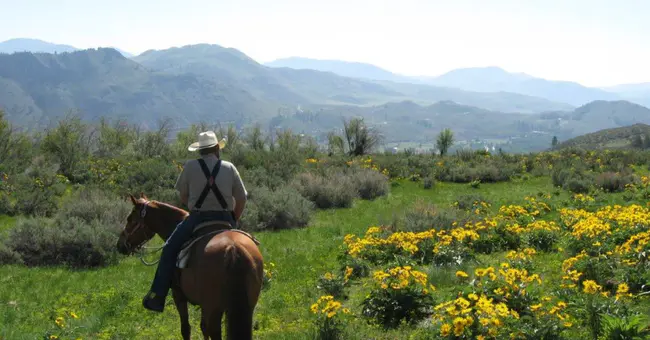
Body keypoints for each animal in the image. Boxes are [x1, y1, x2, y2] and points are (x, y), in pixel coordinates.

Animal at [116, 194, 264, 340]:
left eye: (130, 219)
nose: (120, 245)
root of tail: (233, 248)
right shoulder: (204, 305)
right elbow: (203, 327)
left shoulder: (179, 295)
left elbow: (186, 329)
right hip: (245, 306)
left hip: (215, 308)